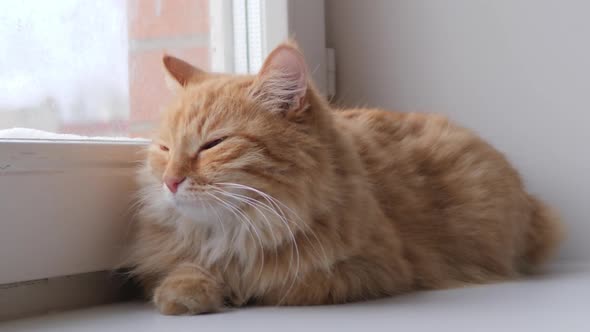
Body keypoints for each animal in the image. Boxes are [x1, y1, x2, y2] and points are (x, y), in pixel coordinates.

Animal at [128, 40, 564, 314]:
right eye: (164, 149)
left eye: (213, 144)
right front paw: (187, 290)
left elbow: (275, 283)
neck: (239, 231)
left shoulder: (370, 269)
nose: (170, 181)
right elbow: (181, 270)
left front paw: (232, 288)